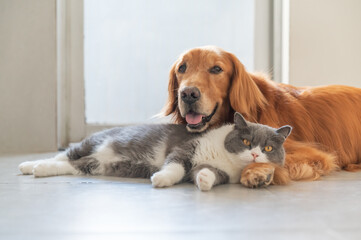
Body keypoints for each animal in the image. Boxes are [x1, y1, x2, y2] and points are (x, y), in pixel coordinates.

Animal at [19, 113, 290, 191]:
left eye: (267, 148)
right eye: (246, 141)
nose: (255, 155)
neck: (225, 158)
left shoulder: (224, 173)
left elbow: (208, 174)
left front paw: (204, 180)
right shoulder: (185, 149)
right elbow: (175, 165)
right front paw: (161, 178)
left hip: (96, 164)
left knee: (71, 165)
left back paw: (38, 168)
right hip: (91, 143)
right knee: (64, 155)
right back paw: (29, 165)